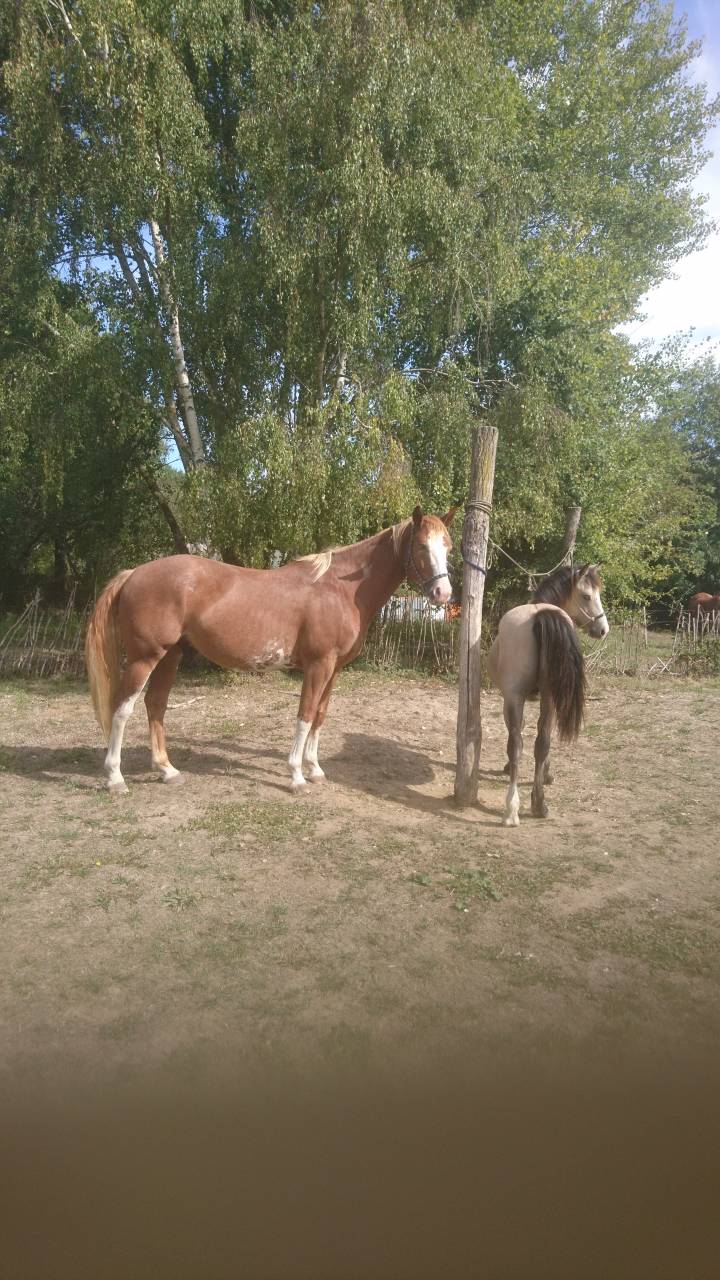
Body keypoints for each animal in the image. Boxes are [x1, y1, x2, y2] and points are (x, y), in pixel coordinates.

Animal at [85, 506, 455, 795]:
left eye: (448, 547)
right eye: (421, 545)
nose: (443, 593)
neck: (341, 589)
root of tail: (133, 573)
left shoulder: (334, 669)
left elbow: (320, 716)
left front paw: (315, 769)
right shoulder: (318, 665)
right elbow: (305, 715)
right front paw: (296, 777)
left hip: (170, 655)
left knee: (156, 705)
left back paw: (167, 770)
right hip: (144, 658)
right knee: (122, 709)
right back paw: (115, 779)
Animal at [487, 564, 609, 827]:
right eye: (587, 596)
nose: (603, 630)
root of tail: (540, 615)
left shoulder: (513, 699)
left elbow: (520, 731)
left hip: (519, 696)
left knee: (519, 744)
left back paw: (514, 809)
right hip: (542, 696)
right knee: (539, 742)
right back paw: (535, 804)